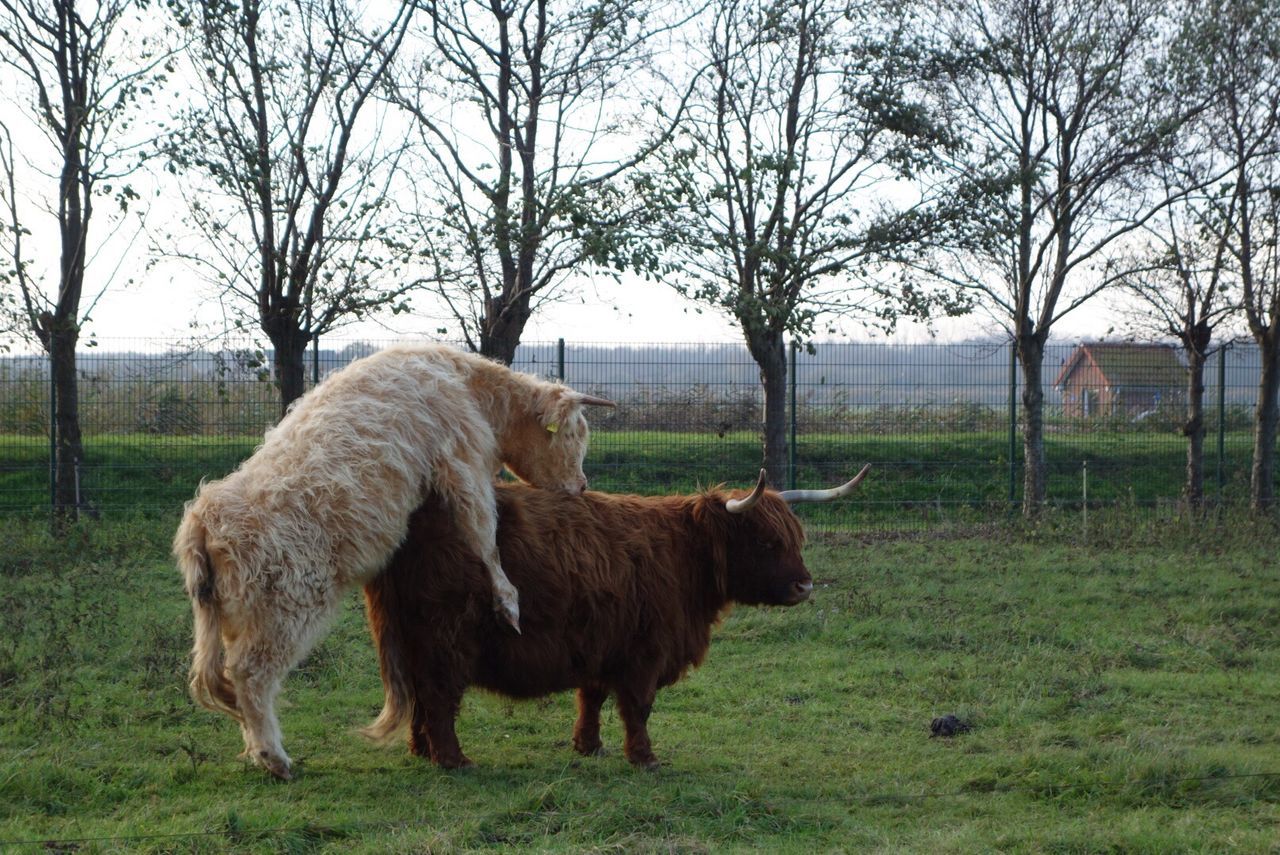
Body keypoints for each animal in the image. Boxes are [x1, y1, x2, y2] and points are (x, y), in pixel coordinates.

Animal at [174, 343, 609, 778]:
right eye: (573, 434)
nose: (581, 486)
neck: (464, 382)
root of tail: (207, 514)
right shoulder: (463, 458)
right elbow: (484, 533)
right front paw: (508, 602)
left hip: (235, 620)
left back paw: (256, 752)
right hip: (284, 611)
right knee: (251, 675)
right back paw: (274, 758)